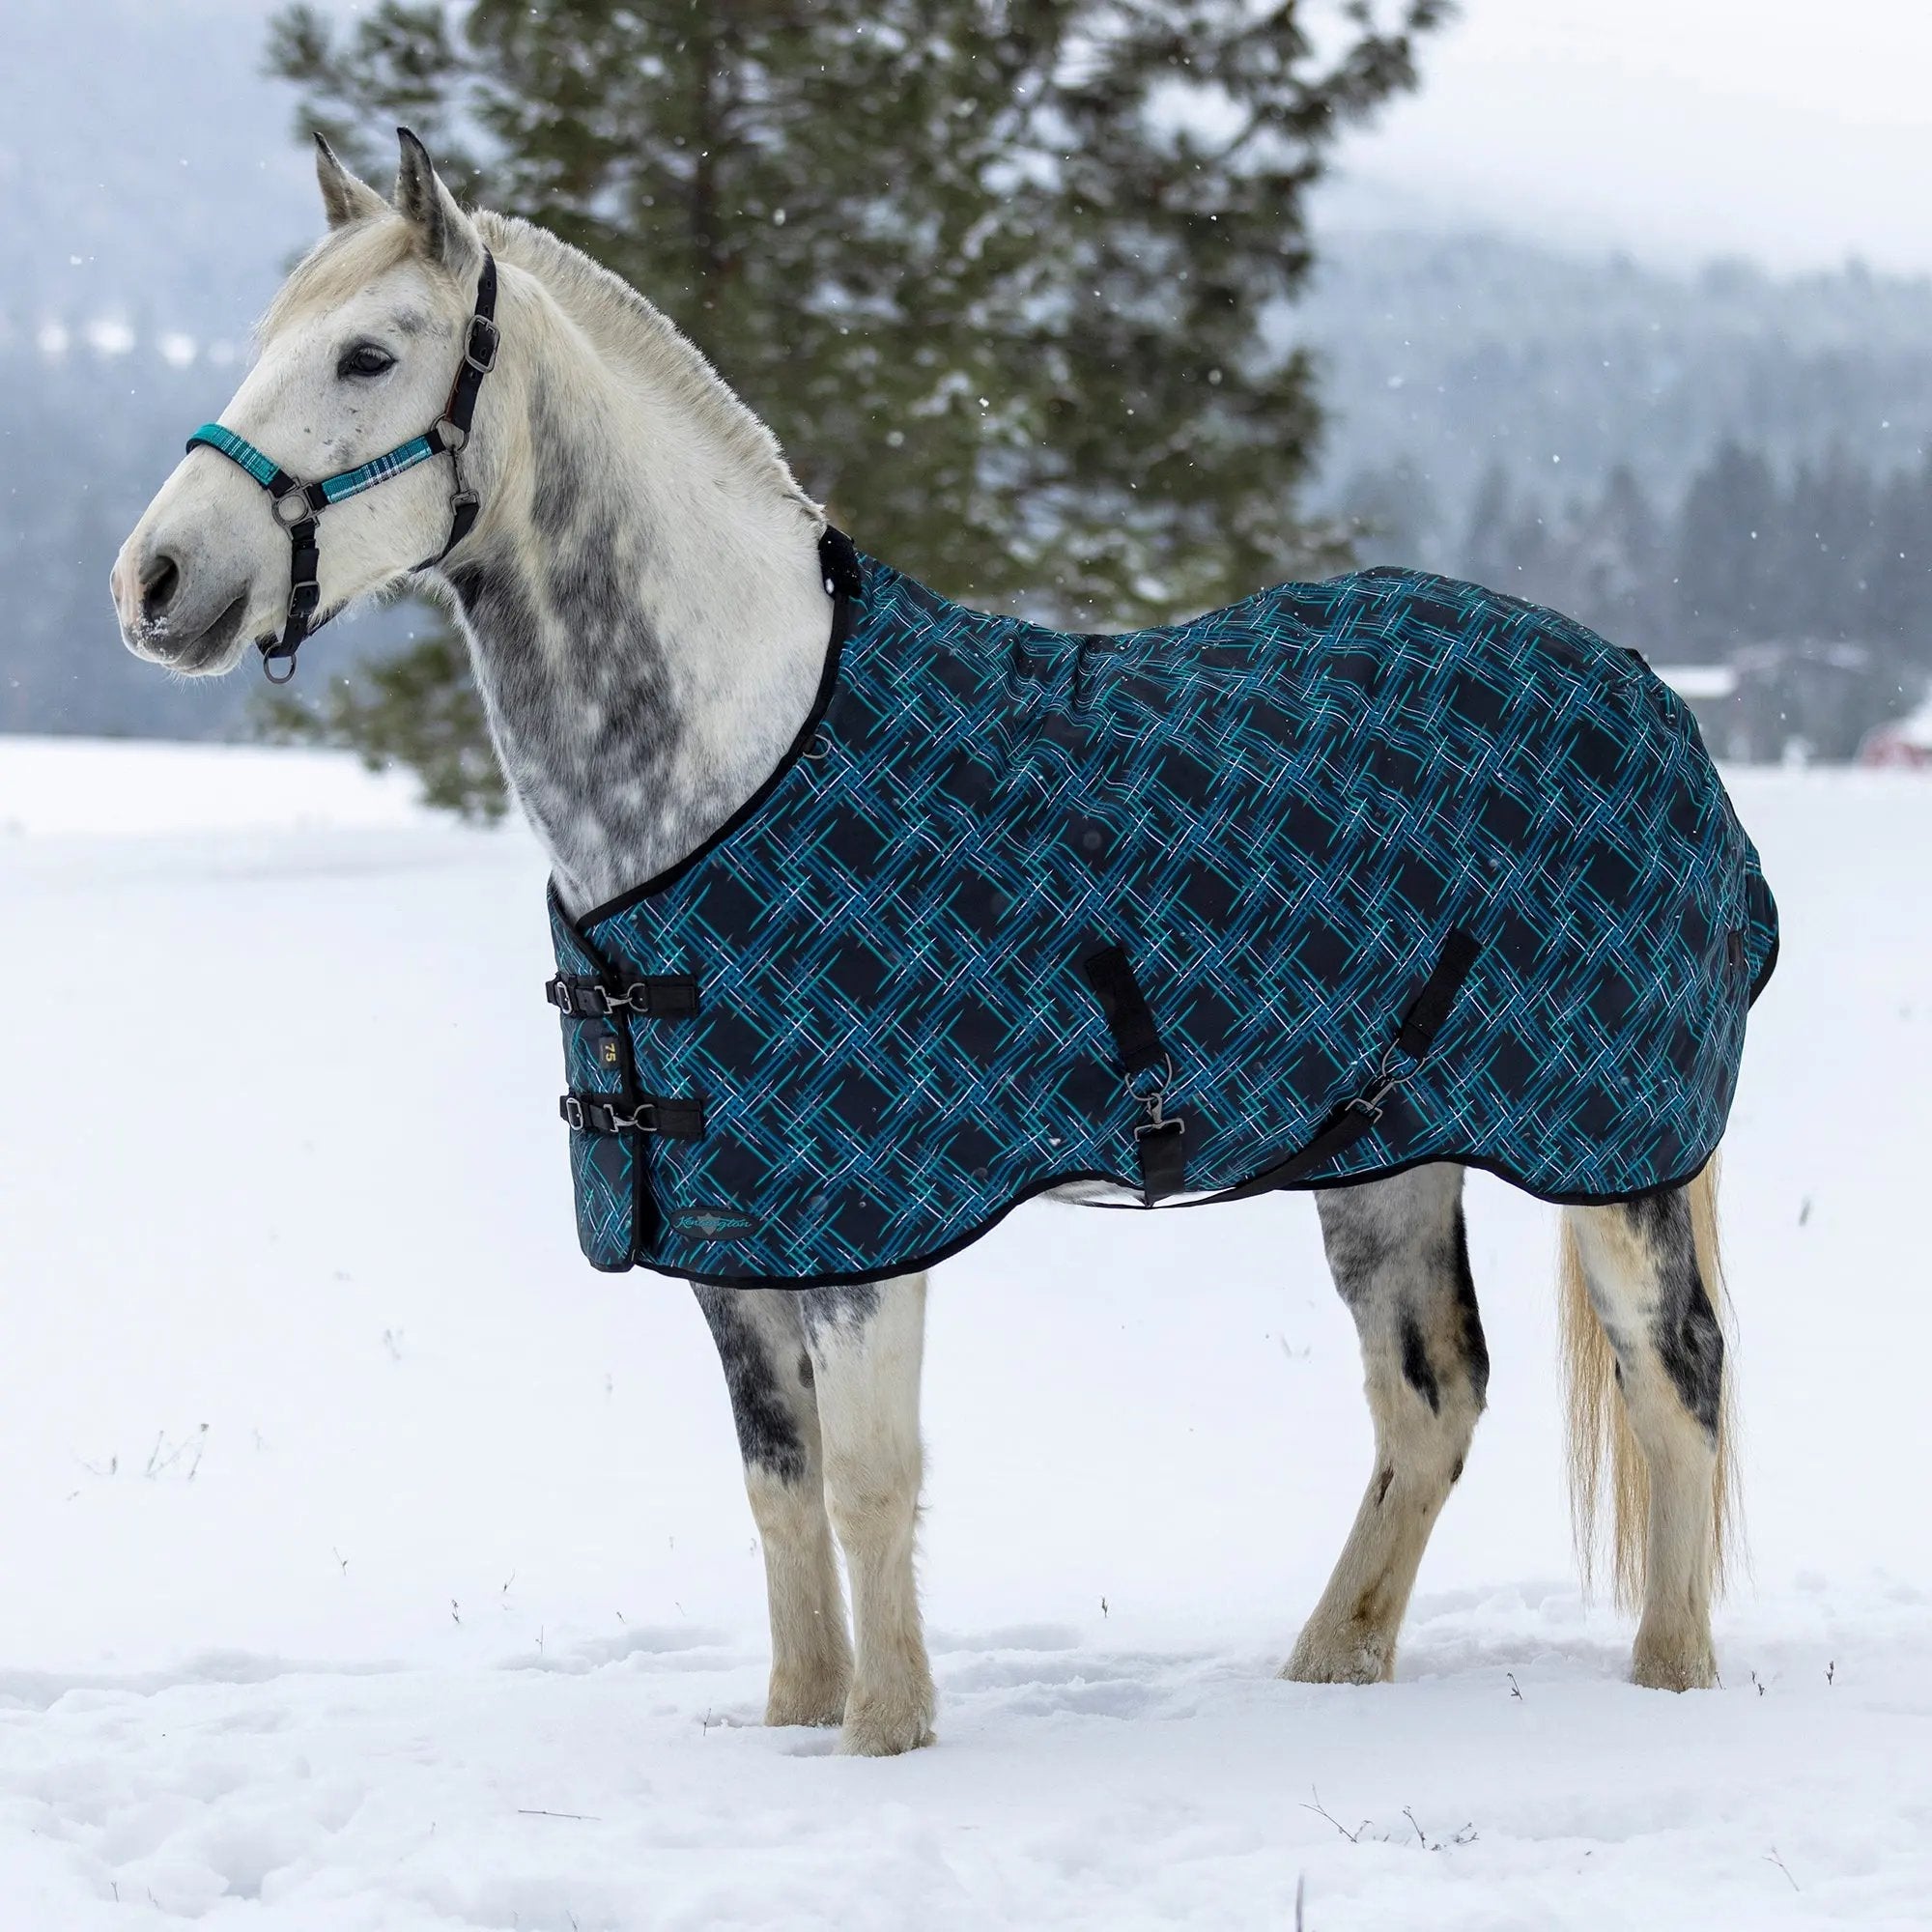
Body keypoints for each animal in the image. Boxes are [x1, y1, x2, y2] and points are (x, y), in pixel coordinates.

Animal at [113, 130, 1750, 1756]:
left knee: (1679, 1379)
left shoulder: (864, 1234)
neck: (735, 762)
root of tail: (1641, 687)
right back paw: (1327, 1670)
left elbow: (866, 1483)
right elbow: (778, 1492)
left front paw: (887, 1741)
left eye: (370, 353)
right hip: (1382, 1156)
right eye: (267, 339)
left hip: (1614, 1158)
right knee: (1430, 1399)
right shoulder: (733, 1240)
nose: (155, 581)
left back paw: (1671, 1684)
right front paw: (796, 1720)